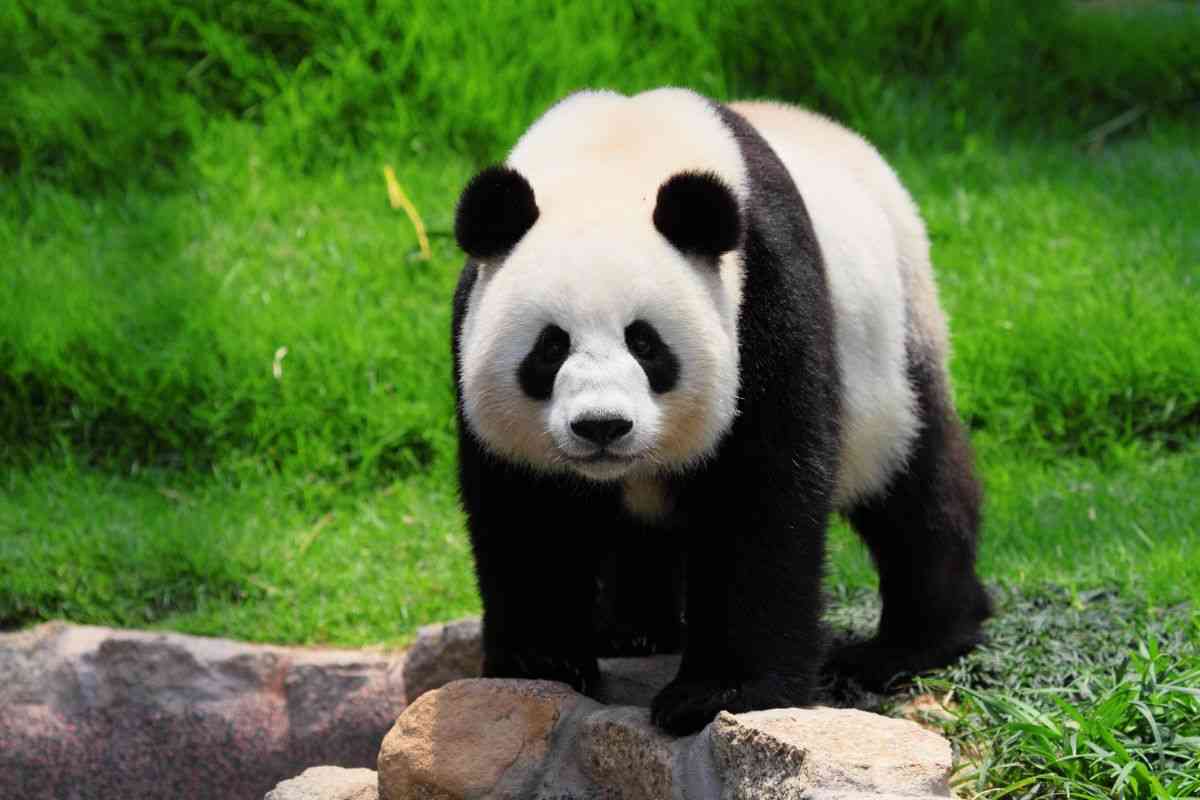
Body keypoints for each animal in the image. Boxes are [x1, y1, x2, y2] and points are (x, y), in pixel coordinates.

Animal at [451, 88, 991, 736]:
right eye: (550, 347)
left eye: (645, 343)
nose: (602, 426)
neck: (615, 158)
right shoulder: (471, 328)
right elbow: (528, 509)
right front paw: (544, 661)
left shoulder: (766, 294)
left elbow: (759, 492)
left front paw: (717, 694)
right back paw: (633, 630)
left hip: (895, 344)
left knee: (916, 484)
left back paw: (910, 645)